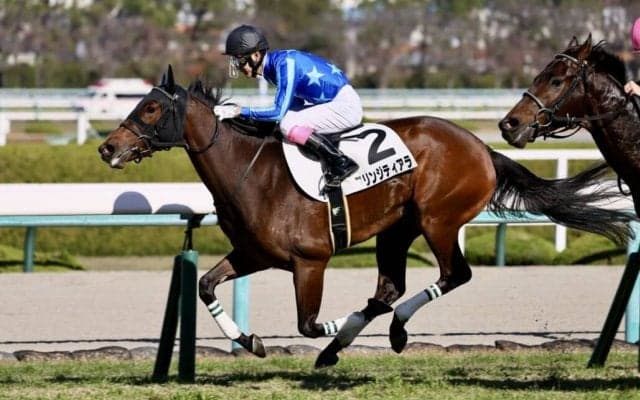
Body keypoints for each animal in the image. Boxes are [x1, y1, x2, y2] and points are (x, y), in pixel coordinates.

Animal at [98, 66, 633, 368]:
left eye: (150, 109)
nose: (107, 147)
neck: (250, 173)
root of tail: (482, 147)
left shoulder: (309, 261)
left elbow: (308, 325)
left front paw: (328, 334)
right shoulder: (255, 253)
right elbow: (207, 286)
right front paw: (250, 341)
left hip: (438, 221)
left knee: (450, 275)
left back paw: (388, 331)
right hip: (395, 232)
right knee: (389, 290)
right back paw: (354, 342)